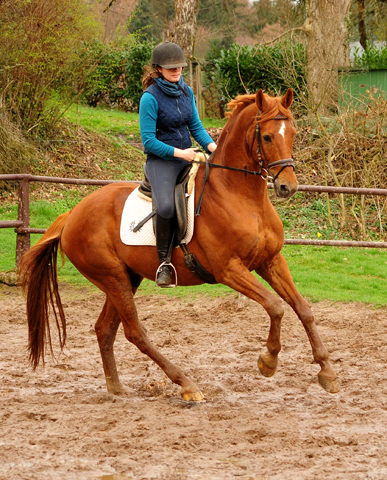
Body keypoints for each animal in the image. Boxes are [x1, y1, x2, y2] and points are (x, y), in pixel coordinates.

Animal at [19, 89, 340, 402]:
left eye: (293, 133)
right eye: (268, 137)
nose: (288, 187)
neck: (241, 196)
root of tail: (72, 214)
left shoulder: (270, 261)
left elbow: (302, 308)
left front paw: (327, 372)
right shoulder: (229, 270)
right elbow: (276, 306)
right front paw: (268, 362)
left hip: (125, 278)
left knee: (104, 329)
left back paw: (117, 388)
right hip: (112, 278)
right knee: (135, 332)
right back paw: (186, 384)